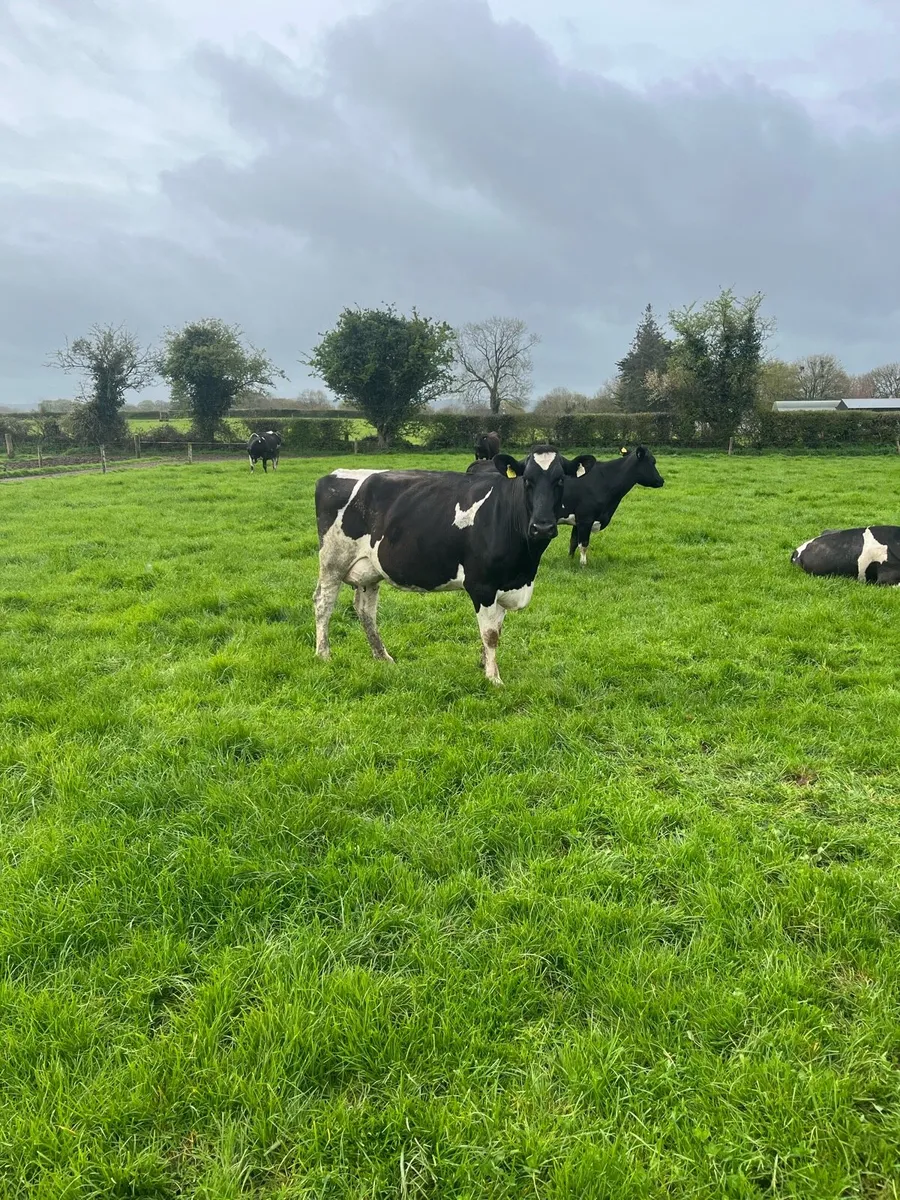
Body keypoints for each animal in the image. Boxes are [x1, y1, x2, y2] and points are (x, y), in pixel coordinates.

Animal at [313, 445, 596, 685]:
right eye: (527, 480)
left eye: (560, 480)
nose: (542, 527)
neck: (524, 566)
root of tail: (333, 475)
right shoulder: (482, 585)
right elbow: (490, 634)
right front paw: (493, 678)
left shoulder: (505, 584)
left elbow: (496, 631)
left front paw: (484, 664)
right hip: (332, 561)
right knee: (323, 603)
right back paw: (323, 654)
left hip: (370, 570)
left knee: (365, 610)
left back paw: (383, 657)